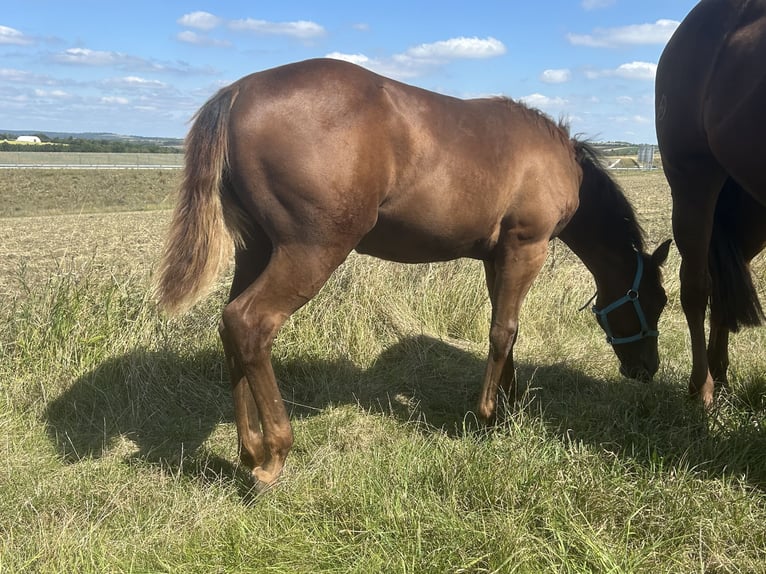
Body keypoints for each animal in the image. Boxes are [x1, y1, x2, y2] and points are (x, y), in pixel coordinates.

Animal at [156, 58, 670, 486]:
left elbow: (506, 330)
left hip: (257, 252)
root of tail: (239, 91)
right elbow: (503, 330)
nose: (647, 370)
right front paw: (488, 414)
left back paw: (249, 450)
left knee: (229, 328)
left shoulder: (497, 256)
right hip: (311, 251)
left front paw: (507, 408)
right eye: (656, 301)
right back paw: (275, 454)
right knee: (250, 323)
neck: (556, 160)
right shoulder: (527, 248)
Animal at [655, 0, 766, 406]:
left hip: (750, 212)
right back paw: (700, 388)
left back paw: (720, 376)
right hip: (693, 184)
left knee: (720, 289)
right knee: (696, 285)